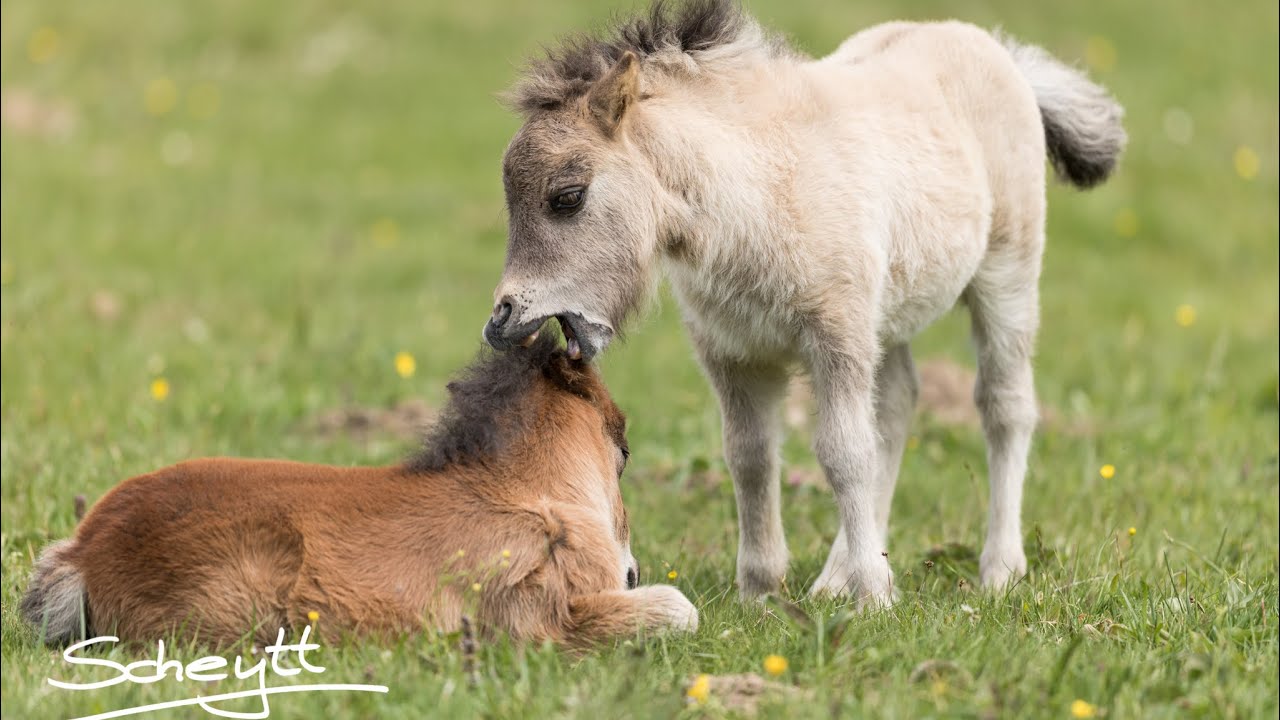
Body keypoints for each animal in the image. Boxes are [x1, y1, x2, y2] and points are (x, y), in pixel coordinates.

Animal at [22, 335, 697, 648]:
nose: (631, 571)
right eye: (624, 455)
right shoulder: (536, 620)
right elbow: (678, 609)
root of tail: (83, 551)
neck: (527, 495)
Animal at [481, 0, 1125, 607]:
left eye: (568, 196)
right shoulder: (734, 354)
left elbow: (843, 454)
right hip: (886, 317)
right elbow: (750, 456)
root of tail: (996, 49)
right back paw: (837, 578)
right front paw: (763, 591)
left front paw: (873, 597)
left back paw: (998, 571)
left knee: (1004, 406)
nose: (503, 320)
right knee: (896, 405)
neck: (761, 190)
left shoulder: (836, 335)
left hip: (1006, 274)